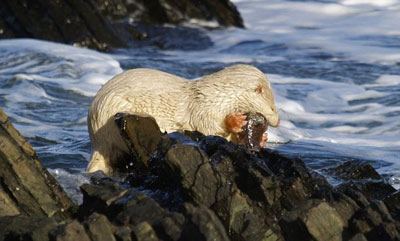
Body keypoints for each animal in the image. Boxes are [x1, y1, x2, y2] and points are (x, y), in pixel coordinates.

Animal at [87, 64, 278, 173]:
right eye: (272, 107)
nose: (278, 121)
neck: (218, 97)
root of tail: (97, 140)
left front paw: (263, 139)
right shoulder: (202, 109)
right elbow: (207, 127)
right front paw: (235, 121)